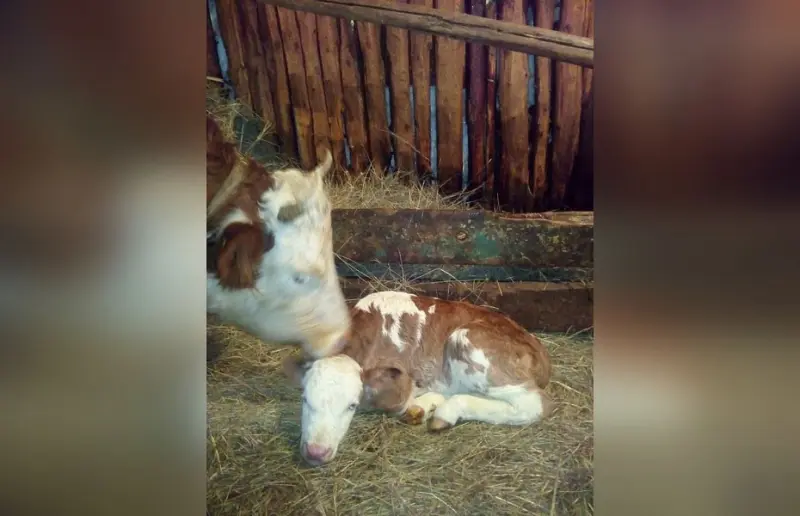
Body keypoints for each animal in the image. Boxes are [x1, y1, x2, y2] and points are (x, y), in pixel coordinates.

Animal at [284, 291, 555, 466]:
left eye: (351, 405)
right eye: (305, 399)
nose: (316, 452)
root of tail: (537, 347)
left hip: (470, 343)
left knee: (533, 404)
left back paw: (444, 412)